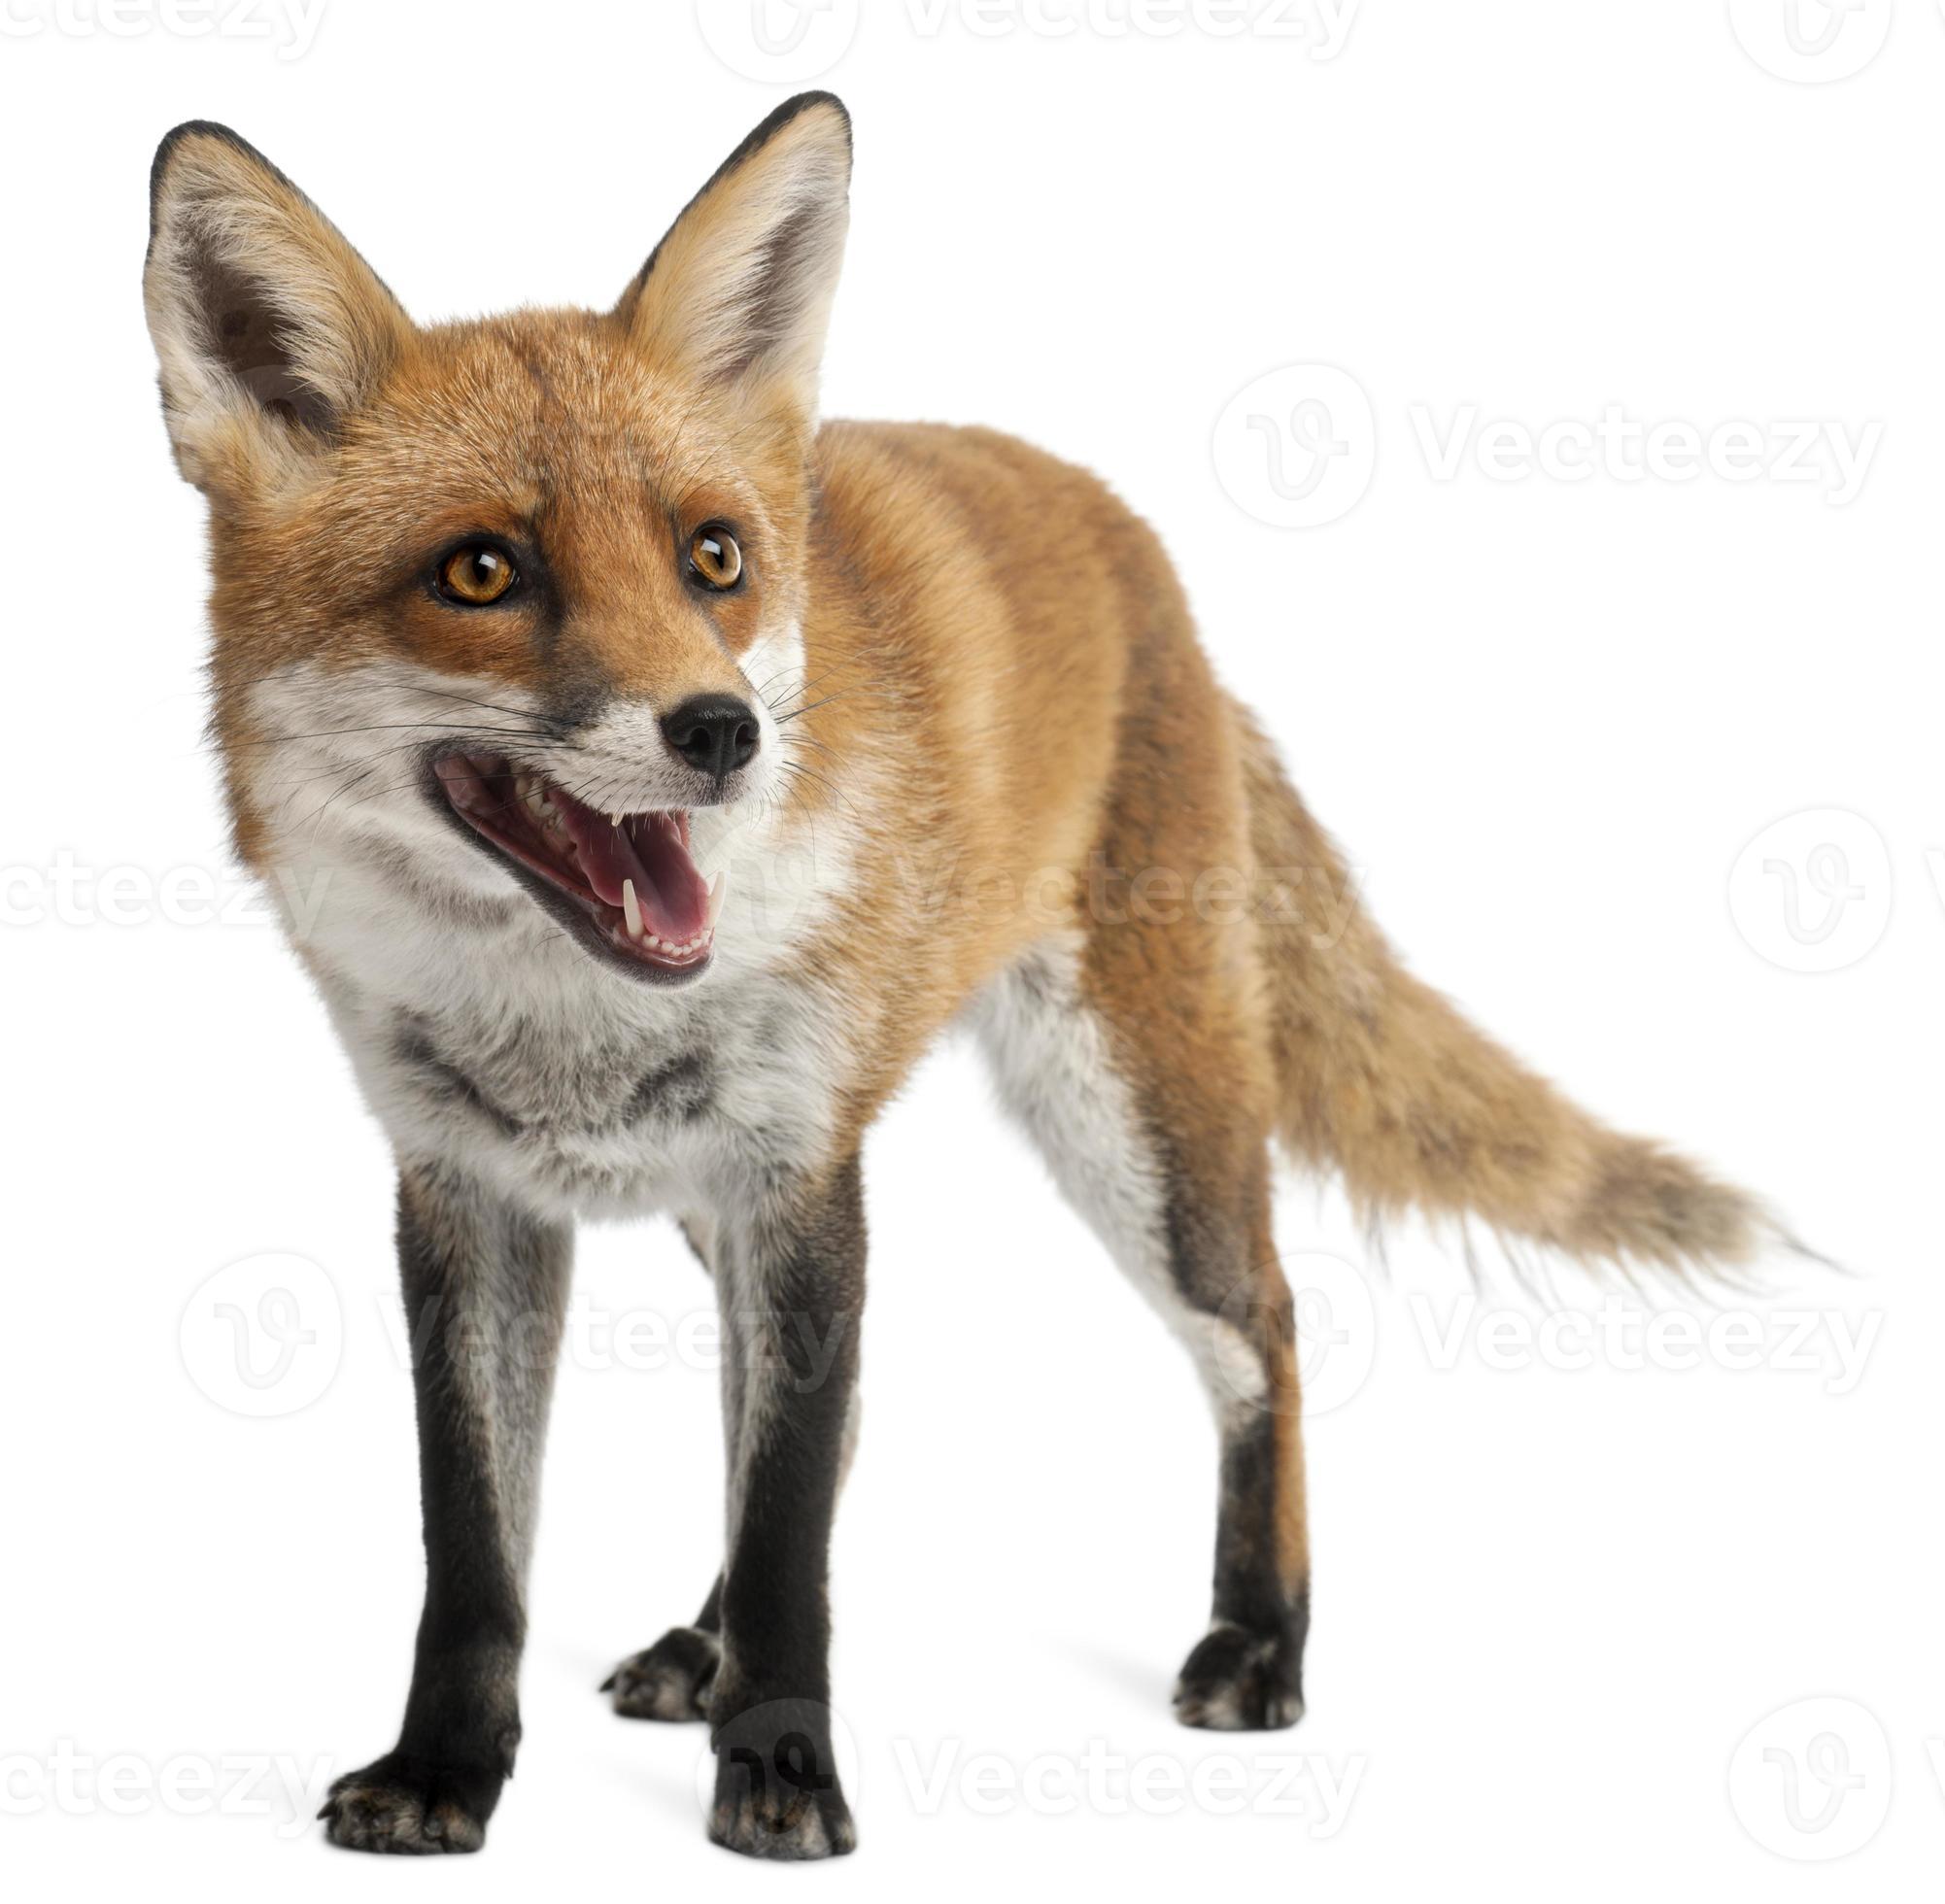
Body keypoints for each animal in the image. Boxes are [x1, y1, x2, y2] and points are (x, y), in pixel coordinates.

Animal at [144, 93, 1778, 1860]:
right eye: (480, 574)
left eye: (713, 559)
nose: (723, 733)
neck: (573, 1031)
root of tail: (1133, 548)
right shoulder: (468, 1195)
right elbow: (483, 1552)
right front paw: (446, 1770)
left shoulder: (802, 1177)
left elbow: (793, 1536)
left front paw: (780, 1776)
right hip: (748, 1208)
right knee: (814, 1427)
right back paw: (701, 1646)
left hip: (1134, 1129)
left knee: (1263, 1327)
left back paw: (1260, 1642)